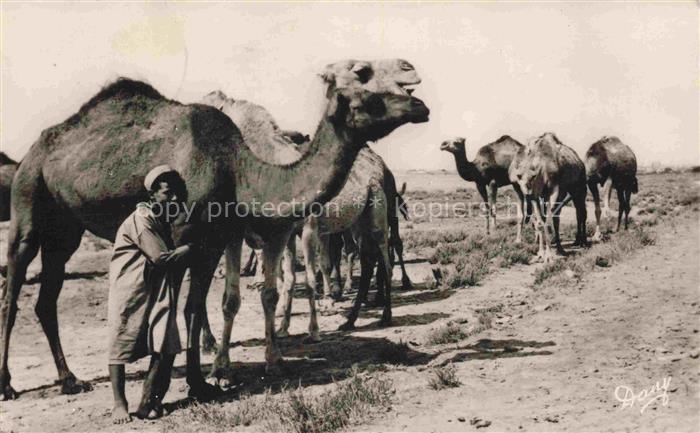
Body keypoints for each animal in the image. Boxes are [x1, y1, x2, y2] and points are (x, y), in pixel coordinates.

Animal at [0, 78, 429, 400]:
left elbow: (194, 307)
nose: (420, 105)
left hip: (65, 230)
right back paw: (9, 385)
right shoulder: (182, 236)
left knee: (46, 299)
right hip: (28, 201)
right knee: (13, 289)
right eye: (370, 97)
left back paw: (69, 379)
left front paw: (200, 381)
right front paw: (186, 379)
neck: (238, 169)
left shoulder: (211, 241)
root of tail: (33, 151)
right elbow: (186, 306)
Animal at [512, 132, 588, 262]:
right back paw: (563, 247)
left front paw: (549, 256)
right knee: (560, 216)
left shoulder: (554, 189)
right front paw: (540, 254)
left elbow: (547, 222)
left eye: (532, 179)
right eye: (519, 178)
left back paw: (581, 242)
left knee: (580, 212)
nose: (527, 194)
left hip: (579, 188)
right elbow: (540, 223)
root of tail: (580, 161)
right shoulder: (537, 196)